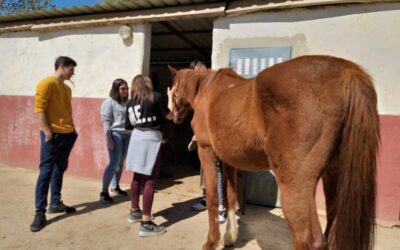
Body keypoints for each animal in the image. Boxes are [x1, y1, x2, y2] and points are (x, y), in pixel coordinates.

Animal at [167, 55, 380, 250]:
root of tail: (347, 73)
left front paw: (212, 242)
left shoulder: (207, 152)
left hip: (295, 185)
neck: (207, 91)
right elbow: (231, 197)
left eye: (173, 88)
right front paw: (230, 237)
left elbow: (212, 198)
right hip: (334, 176)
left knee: (309, 239)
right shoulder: (229, 160)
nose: (172, 115)